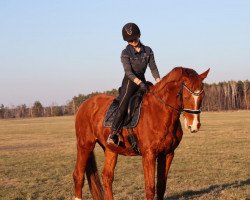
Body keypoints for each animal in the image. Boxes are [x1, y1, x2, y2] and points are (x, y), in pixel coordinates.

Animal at [73, 67, 209, 200]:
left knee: (107, 177)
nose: (195, 125)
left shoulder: (167, 153)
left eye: (202, 95)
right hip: (85, 146)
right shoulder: (149, 155)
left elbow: (161, 186)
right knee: (78, 175)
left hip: (110, 149)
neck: (159, 112)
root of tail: (84, 104)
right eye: (186, 96)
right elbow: (150, 188)